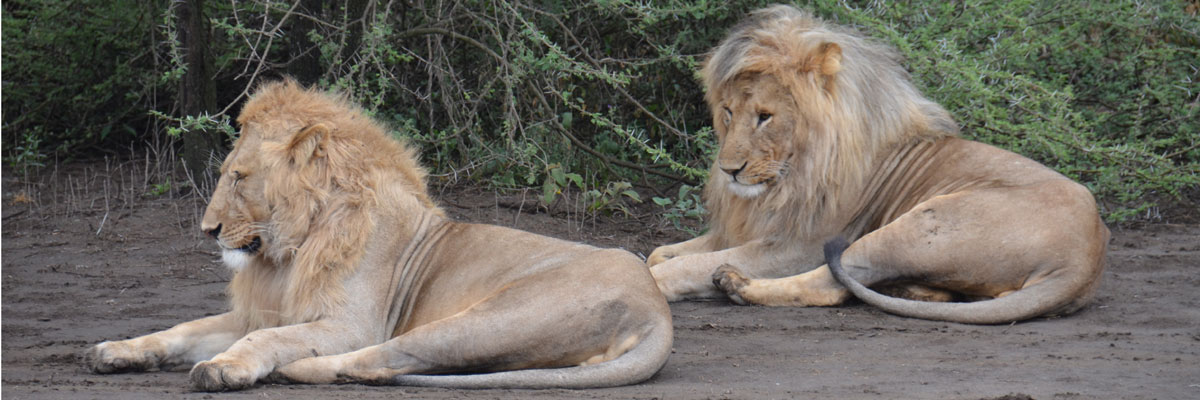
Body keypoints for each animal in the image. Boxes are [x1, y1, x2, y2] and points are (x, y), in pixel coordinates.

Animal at [84, 80, 672, 391]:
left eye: (237, 177)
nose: (209, 230)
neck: (288, 252)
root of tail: (657, 309)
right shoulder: (265, 310)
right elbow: (181, 329)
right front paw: (117, 350)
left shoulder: (349, 322)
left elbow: (264, 340)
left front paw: (226, 366)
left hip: (482, 318)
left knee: (380, 360)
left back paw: (295, 370)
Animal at [646, 5, 1109, 324]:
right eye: (727, 112)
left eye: (765, 116)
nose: (729, 170)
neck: (789, 177)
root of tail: (1083, 261)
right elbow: (660, 252)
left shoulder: (800, 244)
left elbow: (683, 264)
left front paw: (654, 284)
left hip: (916, 226)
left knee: (832, 284)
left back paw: (736, 284)